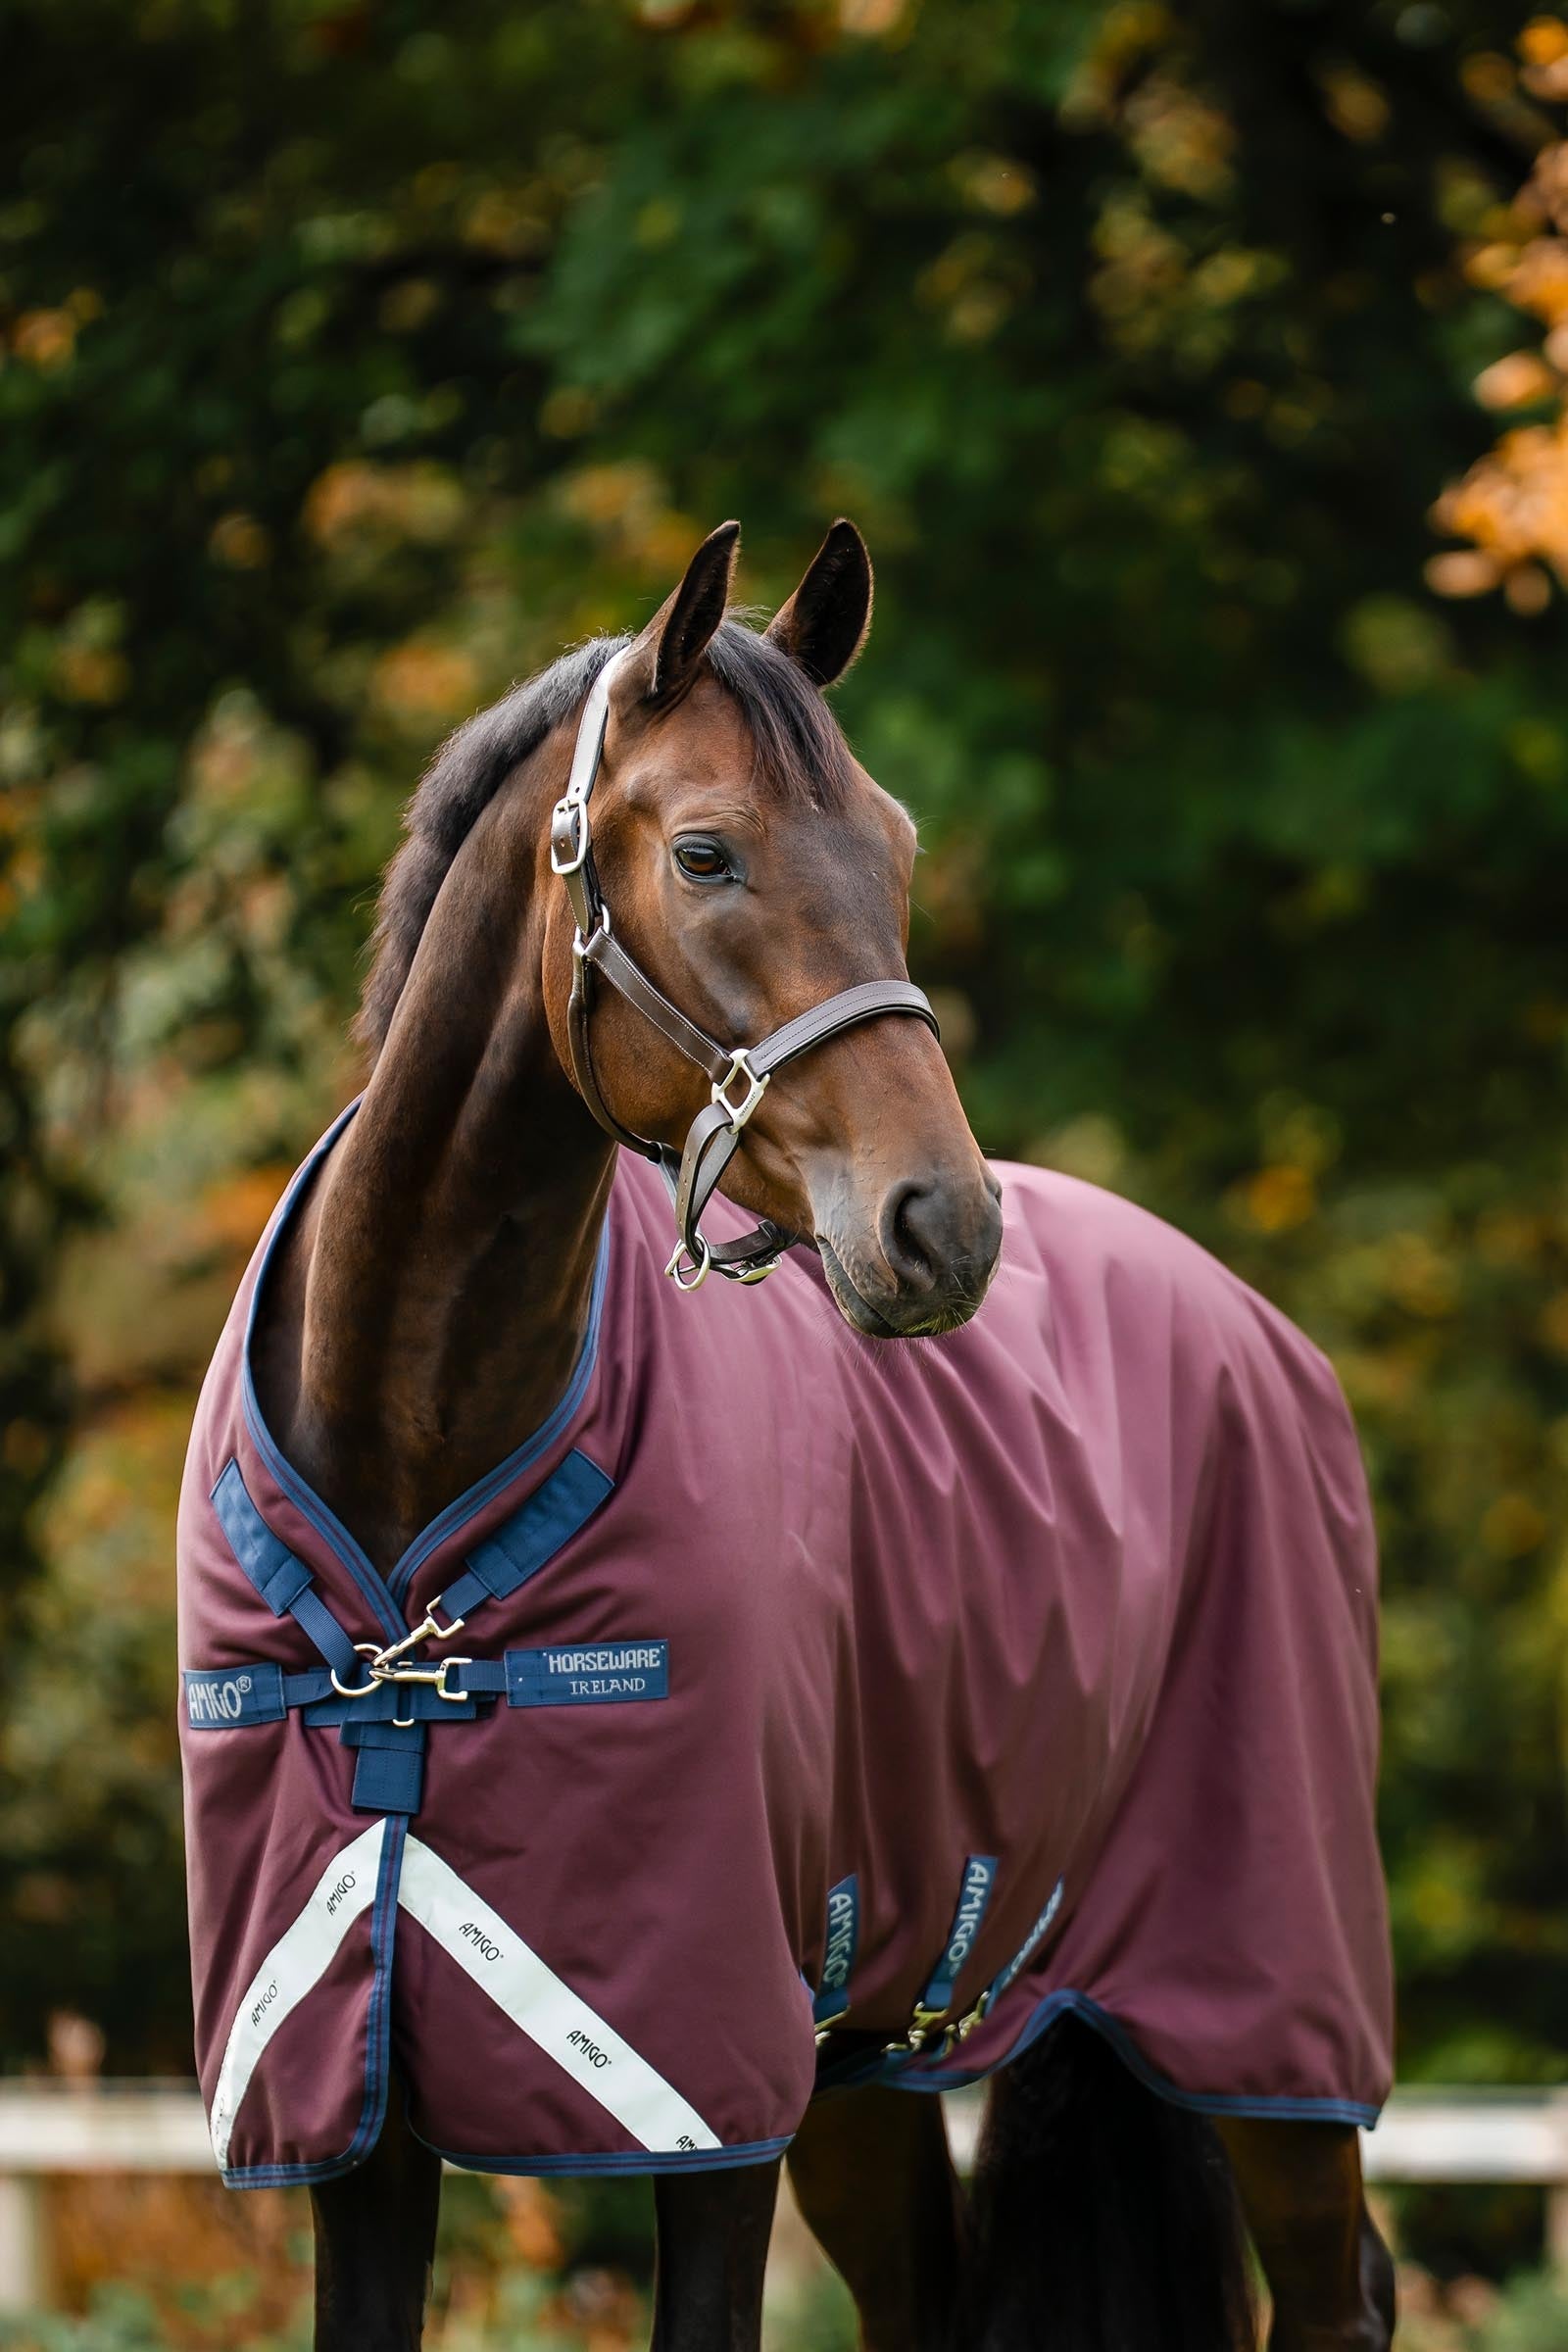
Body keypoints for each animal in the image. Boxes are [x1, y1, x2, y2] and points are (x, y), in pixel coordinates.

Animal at [176, 519, 1396, 2350]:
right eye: (706, 854)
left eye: (892, 845)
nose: (944, 1227)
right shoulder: (355, 2108)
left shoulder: (703, 2085)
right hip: (879, 2054)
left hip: (1263, 2008)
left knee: (1339, 2293)